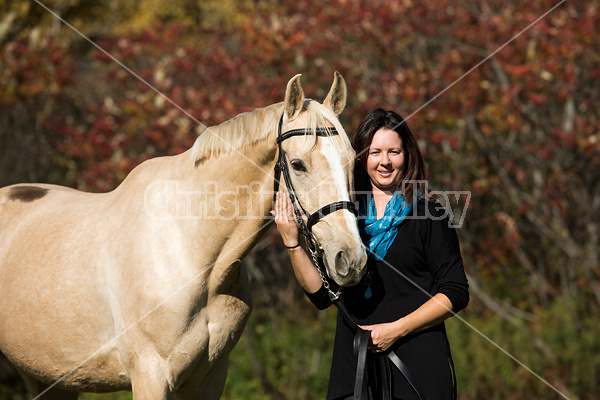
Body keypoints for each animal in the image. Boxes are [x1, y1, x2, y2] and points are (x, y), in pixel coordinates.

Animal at [0, 73, 366, 398]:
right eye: (298, 164)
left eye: (351, 162)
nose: (352, 260)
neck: (189, 250)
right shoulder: (150, 376)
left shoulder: (210, 379)